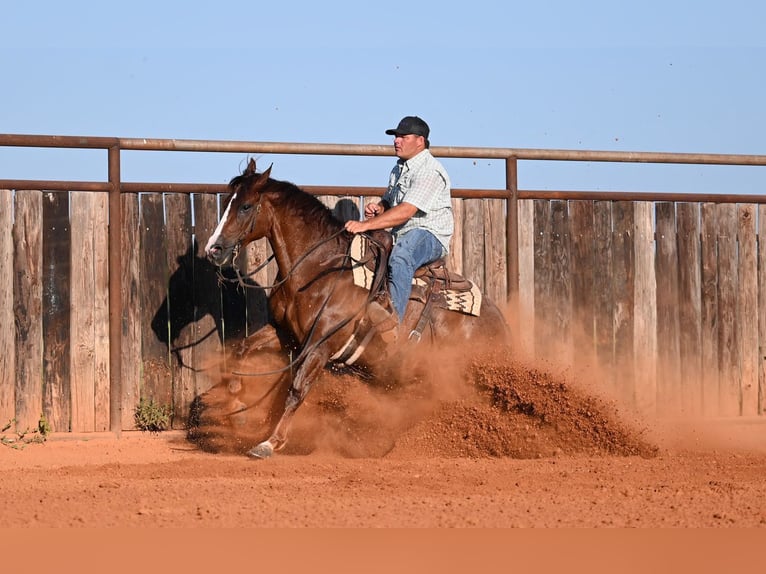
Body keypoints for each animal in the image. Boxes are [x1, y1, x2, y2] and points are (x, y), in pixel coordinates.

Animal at [204, 158, 510, 459]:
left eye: (245, 206)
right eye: (226, 202)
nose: (213, 249)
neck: (318, 269)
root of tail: (498, 320)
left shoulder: (320, 345)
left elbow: (297, 388)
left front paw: (270, 442)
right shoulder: (285, 332)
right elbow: (243, 349)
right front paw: (237, 411)